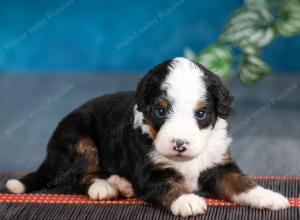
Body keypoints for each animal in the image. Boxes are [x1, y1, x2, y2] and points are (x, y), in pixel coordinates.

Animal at [6, 57, 288, 217]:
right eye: (161, 110)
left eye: (201, 113)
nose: (179, 145)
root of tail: (48, 154)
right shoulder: (150, 171)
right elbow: (168, 186)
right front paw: (186, 200)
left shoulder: (218, 165)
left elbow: (241, 182)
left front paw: (268, 196)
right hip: (79, 139)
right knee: (74, 178)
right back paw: (104, 187)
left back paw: (121, 184)